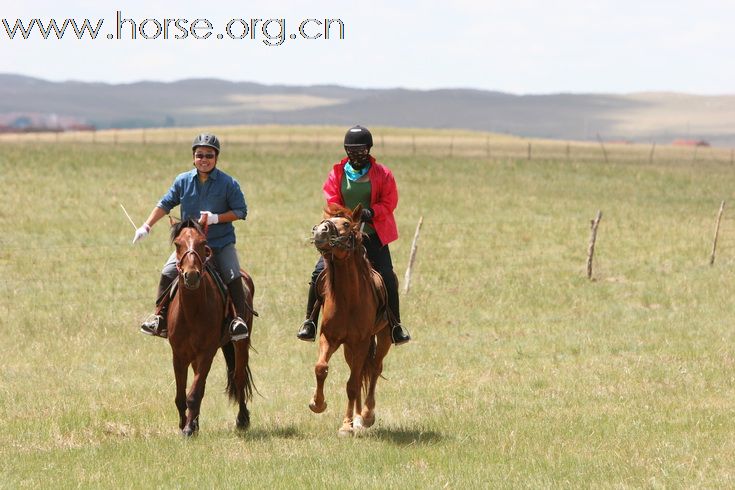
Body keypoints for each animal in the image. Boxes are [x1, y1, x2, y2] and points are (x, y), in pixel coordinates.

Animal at [167, 218, 256, 436]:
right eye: (178, 244)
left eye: (202, 242)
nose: (191, 275)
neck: (191, 312)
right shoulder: (178, 354)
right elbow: (181, 396)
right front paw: (185, 424)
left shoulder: (207, 353)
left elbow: (194, 393)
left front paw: (188, 429)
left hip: (240, 344)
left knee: (239, 378)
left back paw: (242, 419)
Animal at [308, 203, 394, 436]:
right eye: (326, 221)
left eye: (346, 224)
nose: (320, 232)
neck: (348, 298)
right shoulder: (328, 338)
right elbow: (321, 368)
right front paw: (317, 404)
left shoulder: (361, 342)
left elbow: (353, 385)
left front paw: (347, 426)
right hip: (348, 348)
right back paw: (357, 417)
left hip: (383, 338)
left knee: (374, 369)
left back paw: (366, 415)